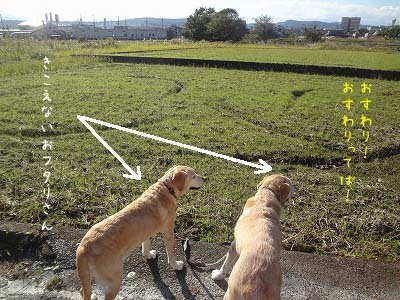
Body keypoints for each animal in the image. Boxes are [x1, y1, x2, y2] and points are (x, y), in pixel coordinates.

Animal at [76, 166, 205, 300]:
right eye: (194, 176)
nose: (205, 179)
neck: (167, 188)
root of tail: (83, 247)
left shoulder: (145, 232)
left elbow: (145, 246)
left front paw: (148, 255)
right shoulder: (168, 231)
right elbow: (170, 254)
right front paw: (176, 266)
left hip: (90, 275)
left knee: (83, 290)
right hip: (114, 279)